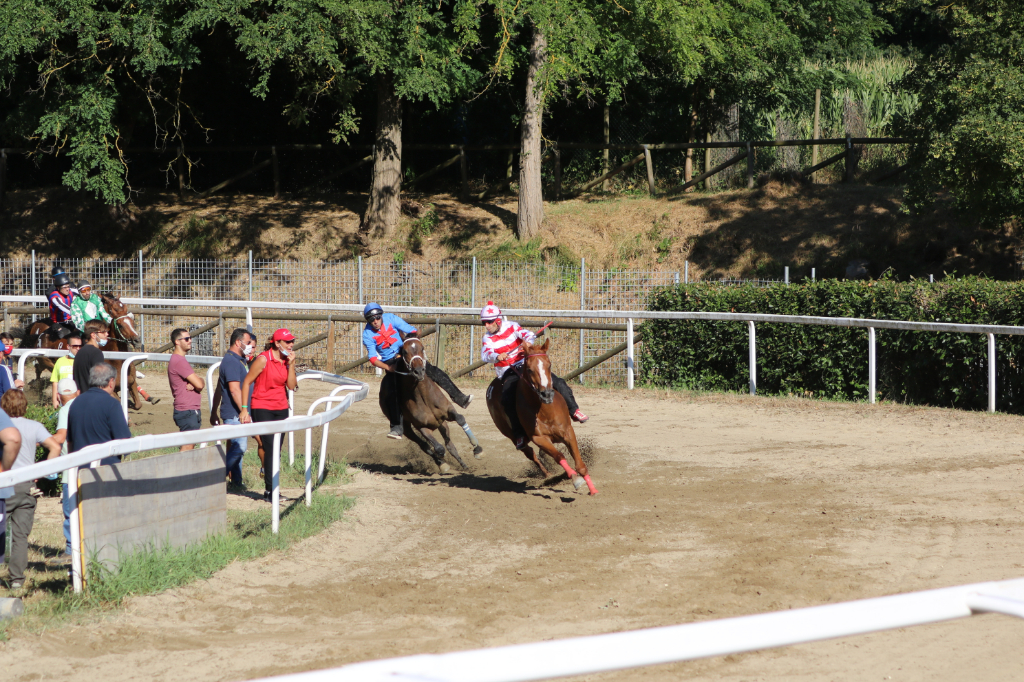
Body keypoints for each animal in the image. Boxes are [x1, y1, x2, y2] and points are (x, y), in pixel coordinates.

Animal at [380, 329, 483, 471]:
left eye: (422, 348)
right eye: (404, 351)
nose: (419, 371)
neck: (424, 398)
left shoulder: (448, 411)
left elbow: (460, 419)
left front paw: (477, 448)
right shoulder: (422, 427)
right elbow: (437, 448)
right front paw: (442, 461)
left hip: (441, 423)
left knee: (450, 446)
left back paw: (464, 466)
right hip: (407, 428)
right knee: (425, 446)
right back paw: (442, 464)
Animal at [483, 335, 598, 491]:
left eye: (549, 365)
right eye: (530, 369)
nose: (547, 394)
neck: (545, 412)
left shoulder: (568, 432)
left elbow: (580, 465)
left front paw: (593, 490)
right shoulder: (539, 438)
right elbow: (559, 456)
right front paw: (575, 479)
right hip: (512, 436)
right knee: (530, 454)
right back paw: (547, 475)